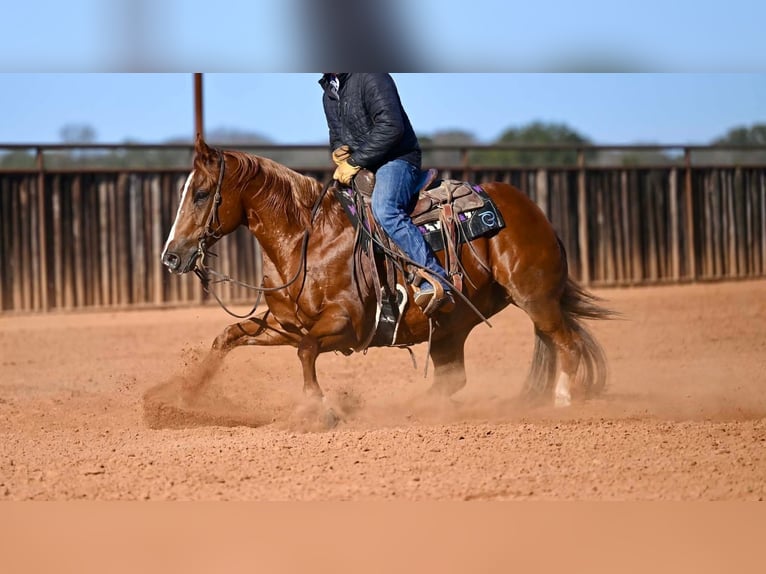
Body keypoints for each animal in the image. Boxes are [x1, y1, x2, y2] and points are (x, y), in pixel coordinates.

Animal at [161, 135, 612, 421]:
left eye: (201, 193)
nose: (171, 256)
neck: (308, 240)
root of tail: (534, 212)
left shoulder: (346, 324)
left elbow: (305, 352)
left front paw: (318, 409)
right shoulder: (285, 325)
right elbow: (227, 338)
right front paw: (179, 400)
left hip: (535, 298)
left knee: (567, 344)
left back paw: (563, 401)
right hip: (452, 325)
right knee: (453, 378)